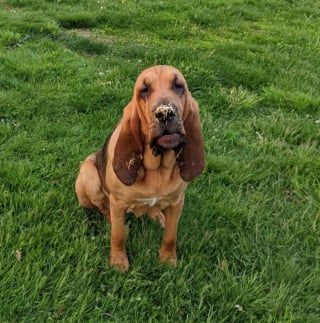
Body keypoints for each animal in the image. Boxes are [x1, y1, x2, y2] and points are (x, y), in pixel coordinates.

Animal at [75, 65, 205, 270]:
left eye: (178, 86)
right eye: (144, 90)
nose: (165, 113)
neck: (158, 169)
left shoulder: (177, 202)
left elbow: (171, 236)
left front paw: (168, 259)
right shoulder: (118, 202)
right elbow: (118, 236)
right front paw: (118, 261)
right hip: (89, 176)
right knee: (103, 208)